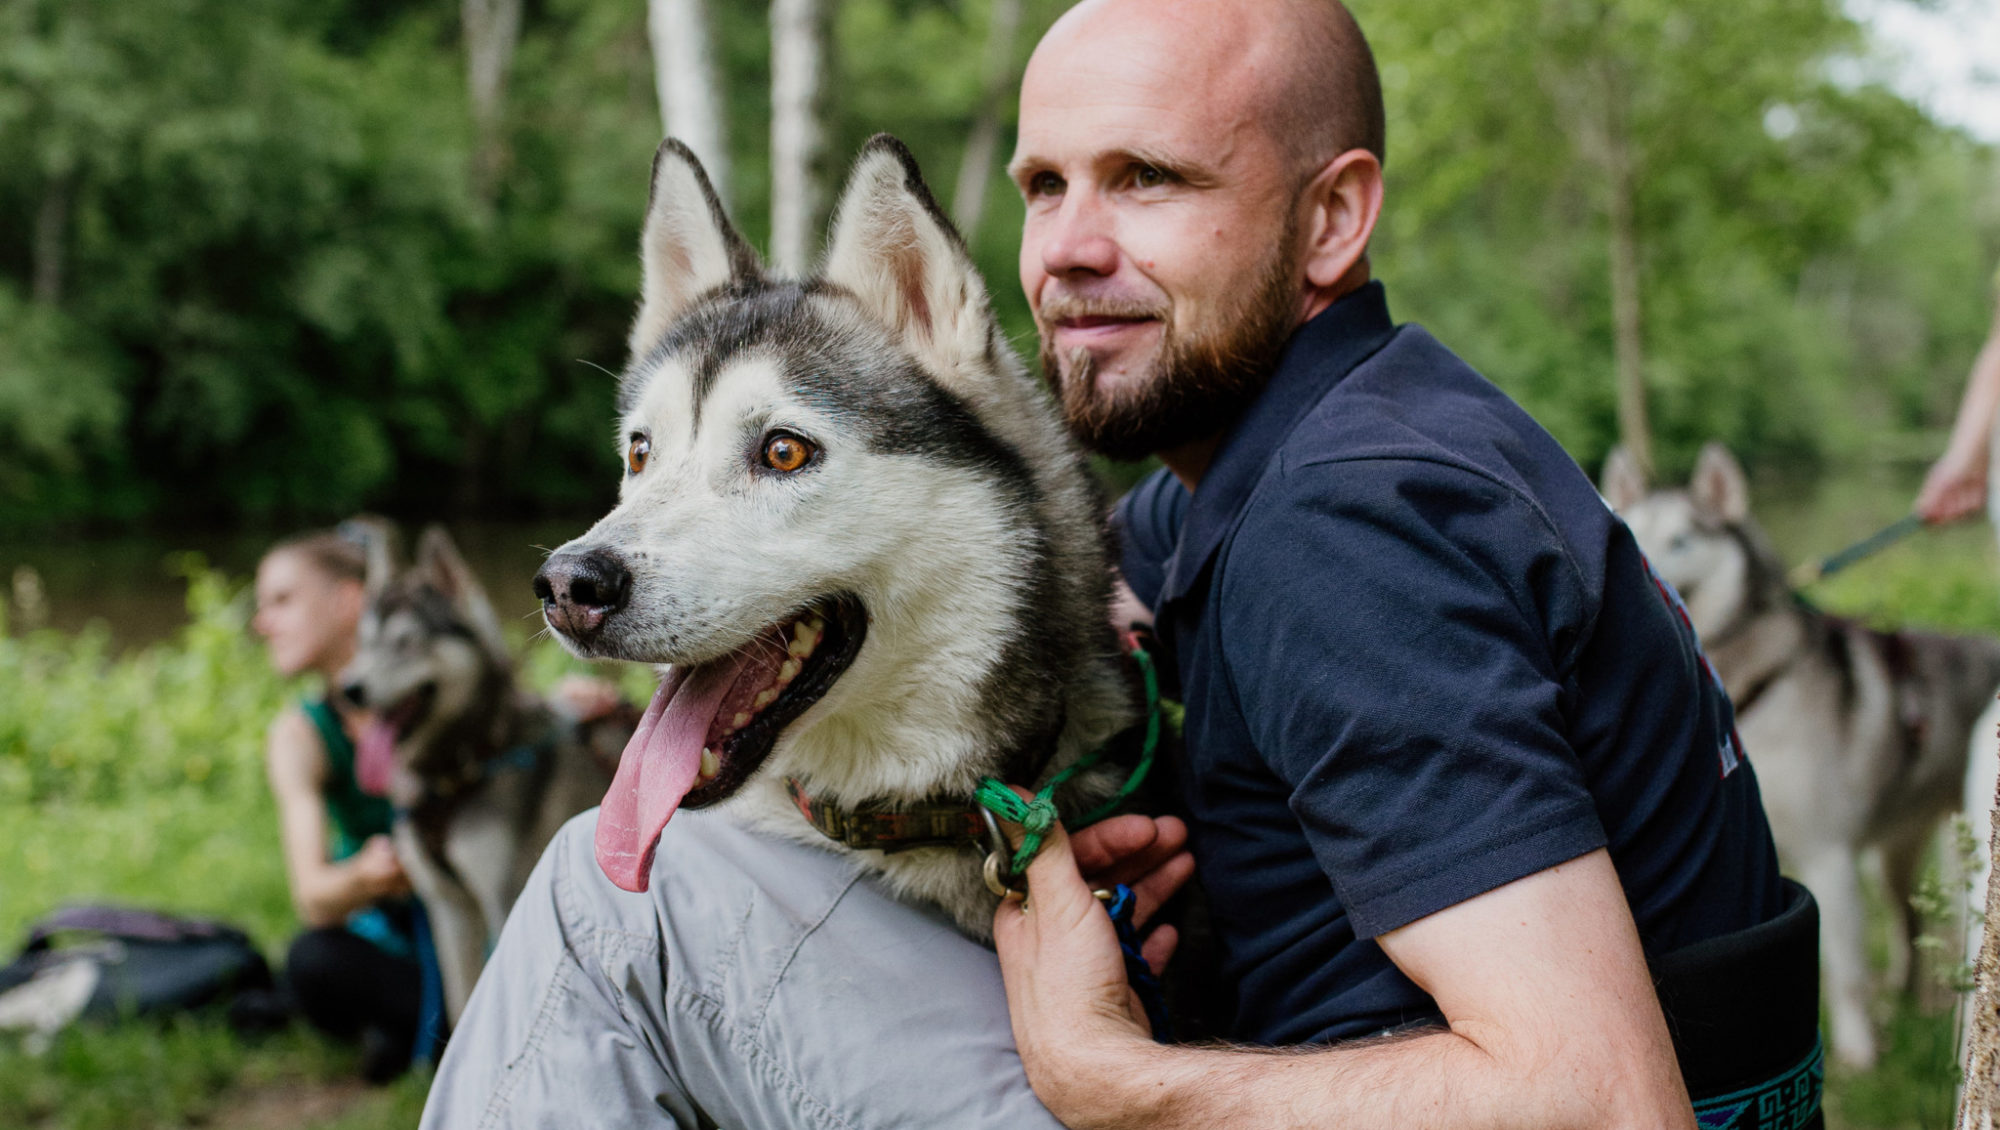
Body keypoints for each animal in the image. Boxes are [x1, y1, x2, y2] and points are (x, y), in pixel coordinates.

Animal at [340, 524, 628, 1016]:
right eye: (364, 642)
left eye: (406, 642)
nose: (350, 689)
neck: (464, 766)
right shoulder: (448, 910)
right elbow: (459, 999)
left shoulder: (505, 900)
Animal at [1600, 440, 2000, 1064]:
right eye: (1631, 524)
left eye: (1681, 540)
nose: (1630, 558)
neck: (1762, 688)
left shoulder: (1829, 857)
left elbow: (1843, 973)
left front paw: (1859, 1054)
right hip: (1894, 852)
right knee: (1908, 919)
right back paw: (1904, 996)